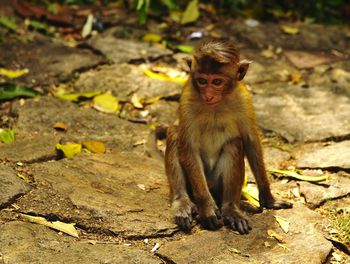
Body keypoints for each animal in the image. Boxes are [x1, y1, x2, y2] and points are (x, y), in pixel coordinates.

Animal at [165, 38, 292, 234]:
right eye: (202, 81)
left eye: (217, 81)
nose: (209, 95)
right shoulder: (187, 97)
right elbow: (188, 147)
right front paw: (207, 209)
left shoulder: (244, 98)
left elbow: (250, 141)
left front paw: (269, 199)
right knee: (174, 134)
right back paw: (183, 201)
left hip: (217, 182)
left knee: (235, 144)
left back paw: (231, 209)